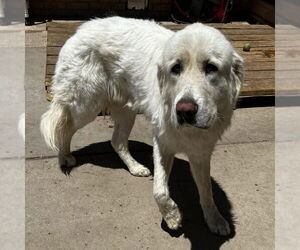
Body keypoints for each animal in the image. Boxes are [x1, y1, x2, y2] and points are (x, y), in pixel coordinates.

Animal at [40, 17, 244, 236]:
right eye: (176, 68)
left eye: (211, 67)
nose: (185, 110)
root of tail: (81, 28)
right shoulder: (162, 143)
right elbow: (160, 191)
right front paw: (172, 217)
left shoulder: (200, 153)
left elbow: (206, 191)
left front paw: (214, 219)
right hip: (86, 106)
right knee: (65, 127)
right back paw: (64, 157)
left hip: (125, 112)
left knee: (117, 141)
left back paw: (135, 167)